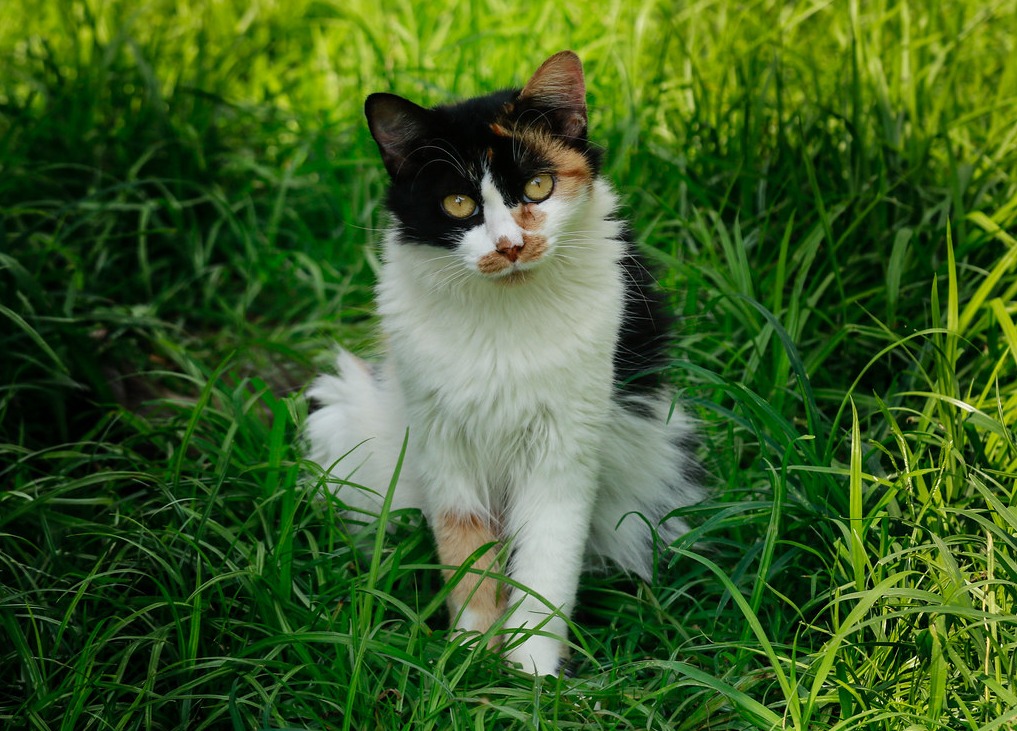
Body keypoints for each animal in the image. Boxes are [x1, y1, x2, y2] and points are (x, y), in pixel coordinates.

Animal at [305, 51, 703, 679]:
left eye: (538, 187)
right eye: (459, 204)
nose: (510, 246)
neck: (504, 313)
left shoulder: (564, 448)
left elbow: (546, 563)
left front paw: (531, 671)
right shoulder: (444, 443)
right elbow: (466, 555)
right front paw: (469, 657)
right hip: (344, 422)